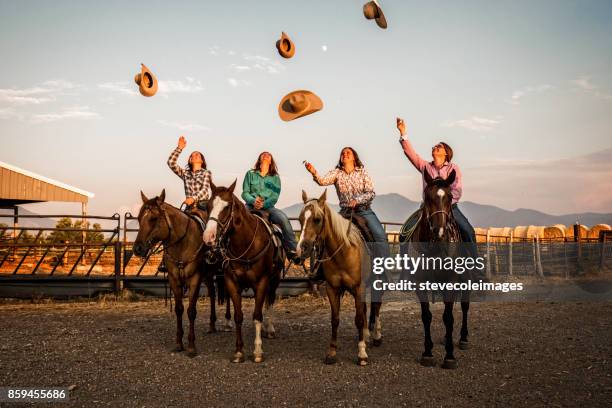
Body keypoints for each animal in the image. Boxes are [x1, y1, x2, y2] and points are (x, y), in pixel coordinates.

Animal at [204, 180, 284, 362]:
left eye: (227, 207)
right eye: (208, 205)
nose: (208, 237)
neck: (246, 244)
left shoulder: (262, 281)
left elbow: (257, 315)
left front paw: (257, 351)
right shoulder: (231, 283)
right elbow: (239, 316)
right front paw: (239, 351)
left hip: (274, 279)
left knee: (269, 301)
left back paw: (269, 329)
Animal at [296, 190, 382, 364]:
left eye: (317, 219)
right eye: (300, 219)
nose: (302, 249)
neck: (343, 253)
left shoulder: (359, 288)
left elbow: (359, 319)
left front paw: (361, 354)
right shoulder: (332, 288)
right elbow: (335, 319)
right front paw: (332, 352)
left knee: (376, 306)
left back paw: (377, 336)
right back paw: (367, 335)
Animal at [408, 170, 470, 370]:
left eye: (449, 197)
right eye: (427, 197)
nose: (439, 231)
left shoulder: (450, 282)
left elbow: (448, 317)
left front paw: (449, 356)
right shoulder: (420, 283)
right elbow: (426, 316)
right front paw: (427, 353)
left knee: (465, 306)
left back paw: (464, 338)